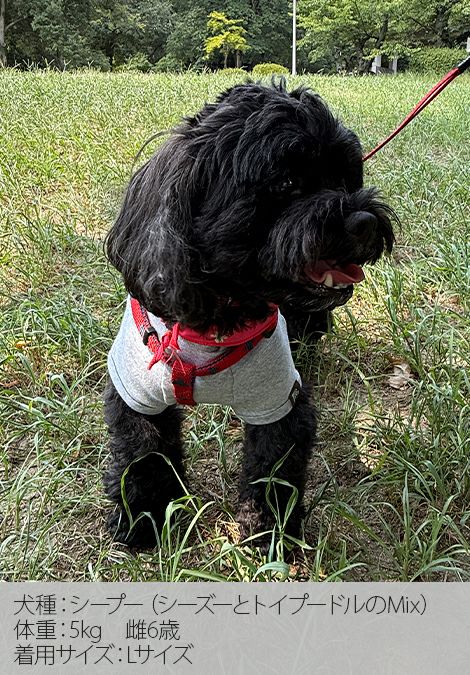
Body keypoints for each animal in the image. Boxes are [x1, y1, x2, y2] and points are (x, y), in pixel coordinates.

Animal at [103, 81, 394, 548]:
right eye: (287, 182)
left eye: (347, 176)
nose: (364, 220)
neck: (217, 321)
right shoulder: (136, 396)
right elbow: (143, 454)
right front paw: (144, 519)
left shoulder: (278, 400)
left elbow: (273, 467)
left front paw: (270, 531)